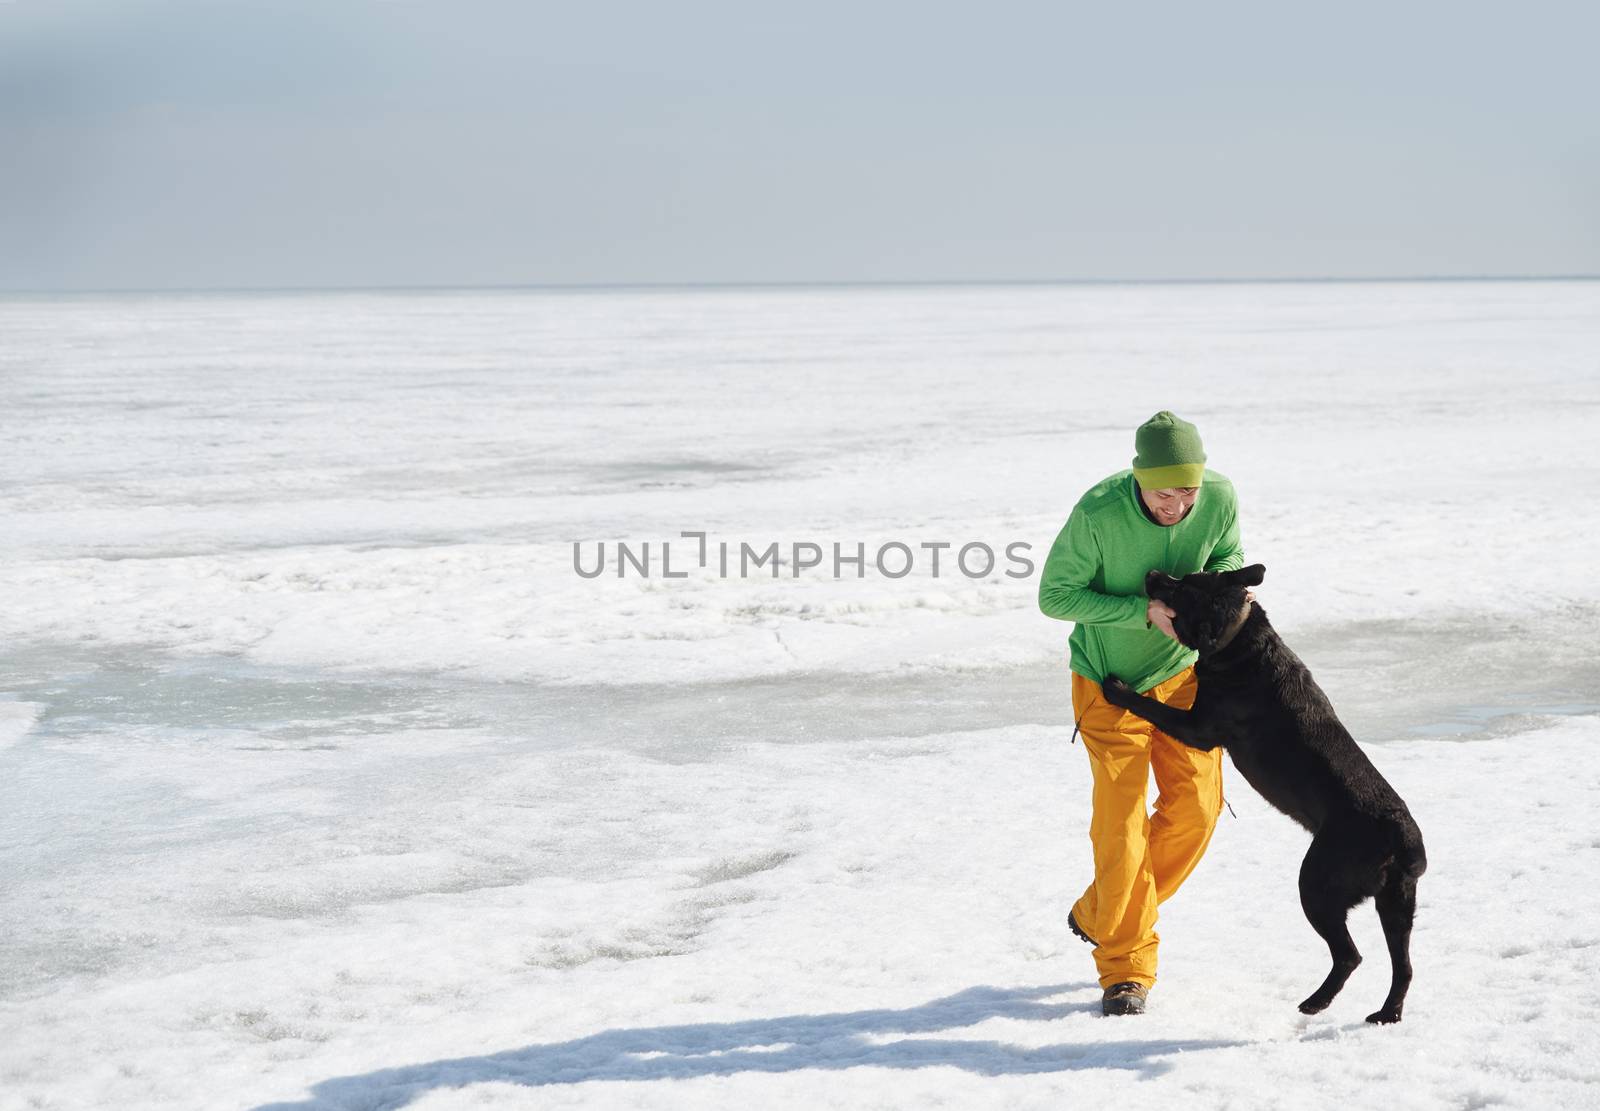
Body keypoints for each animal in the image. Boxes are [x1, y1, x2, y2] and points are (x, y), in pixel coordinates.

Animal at [1100, 566, 1427, 1024]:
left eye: (1181, 588)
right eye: (1188, 574)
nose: (1153, 573)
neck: (1239, 639)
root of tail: (1403, 838)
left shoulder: (1199, 728)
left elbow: (1153, 708)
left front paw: (1117, 689)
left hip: (1318, 883)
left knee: (1349, 955)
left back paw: (1315, 1001)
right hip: (1396, 903)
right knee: (1404, 965)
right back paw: (1386, 1014)